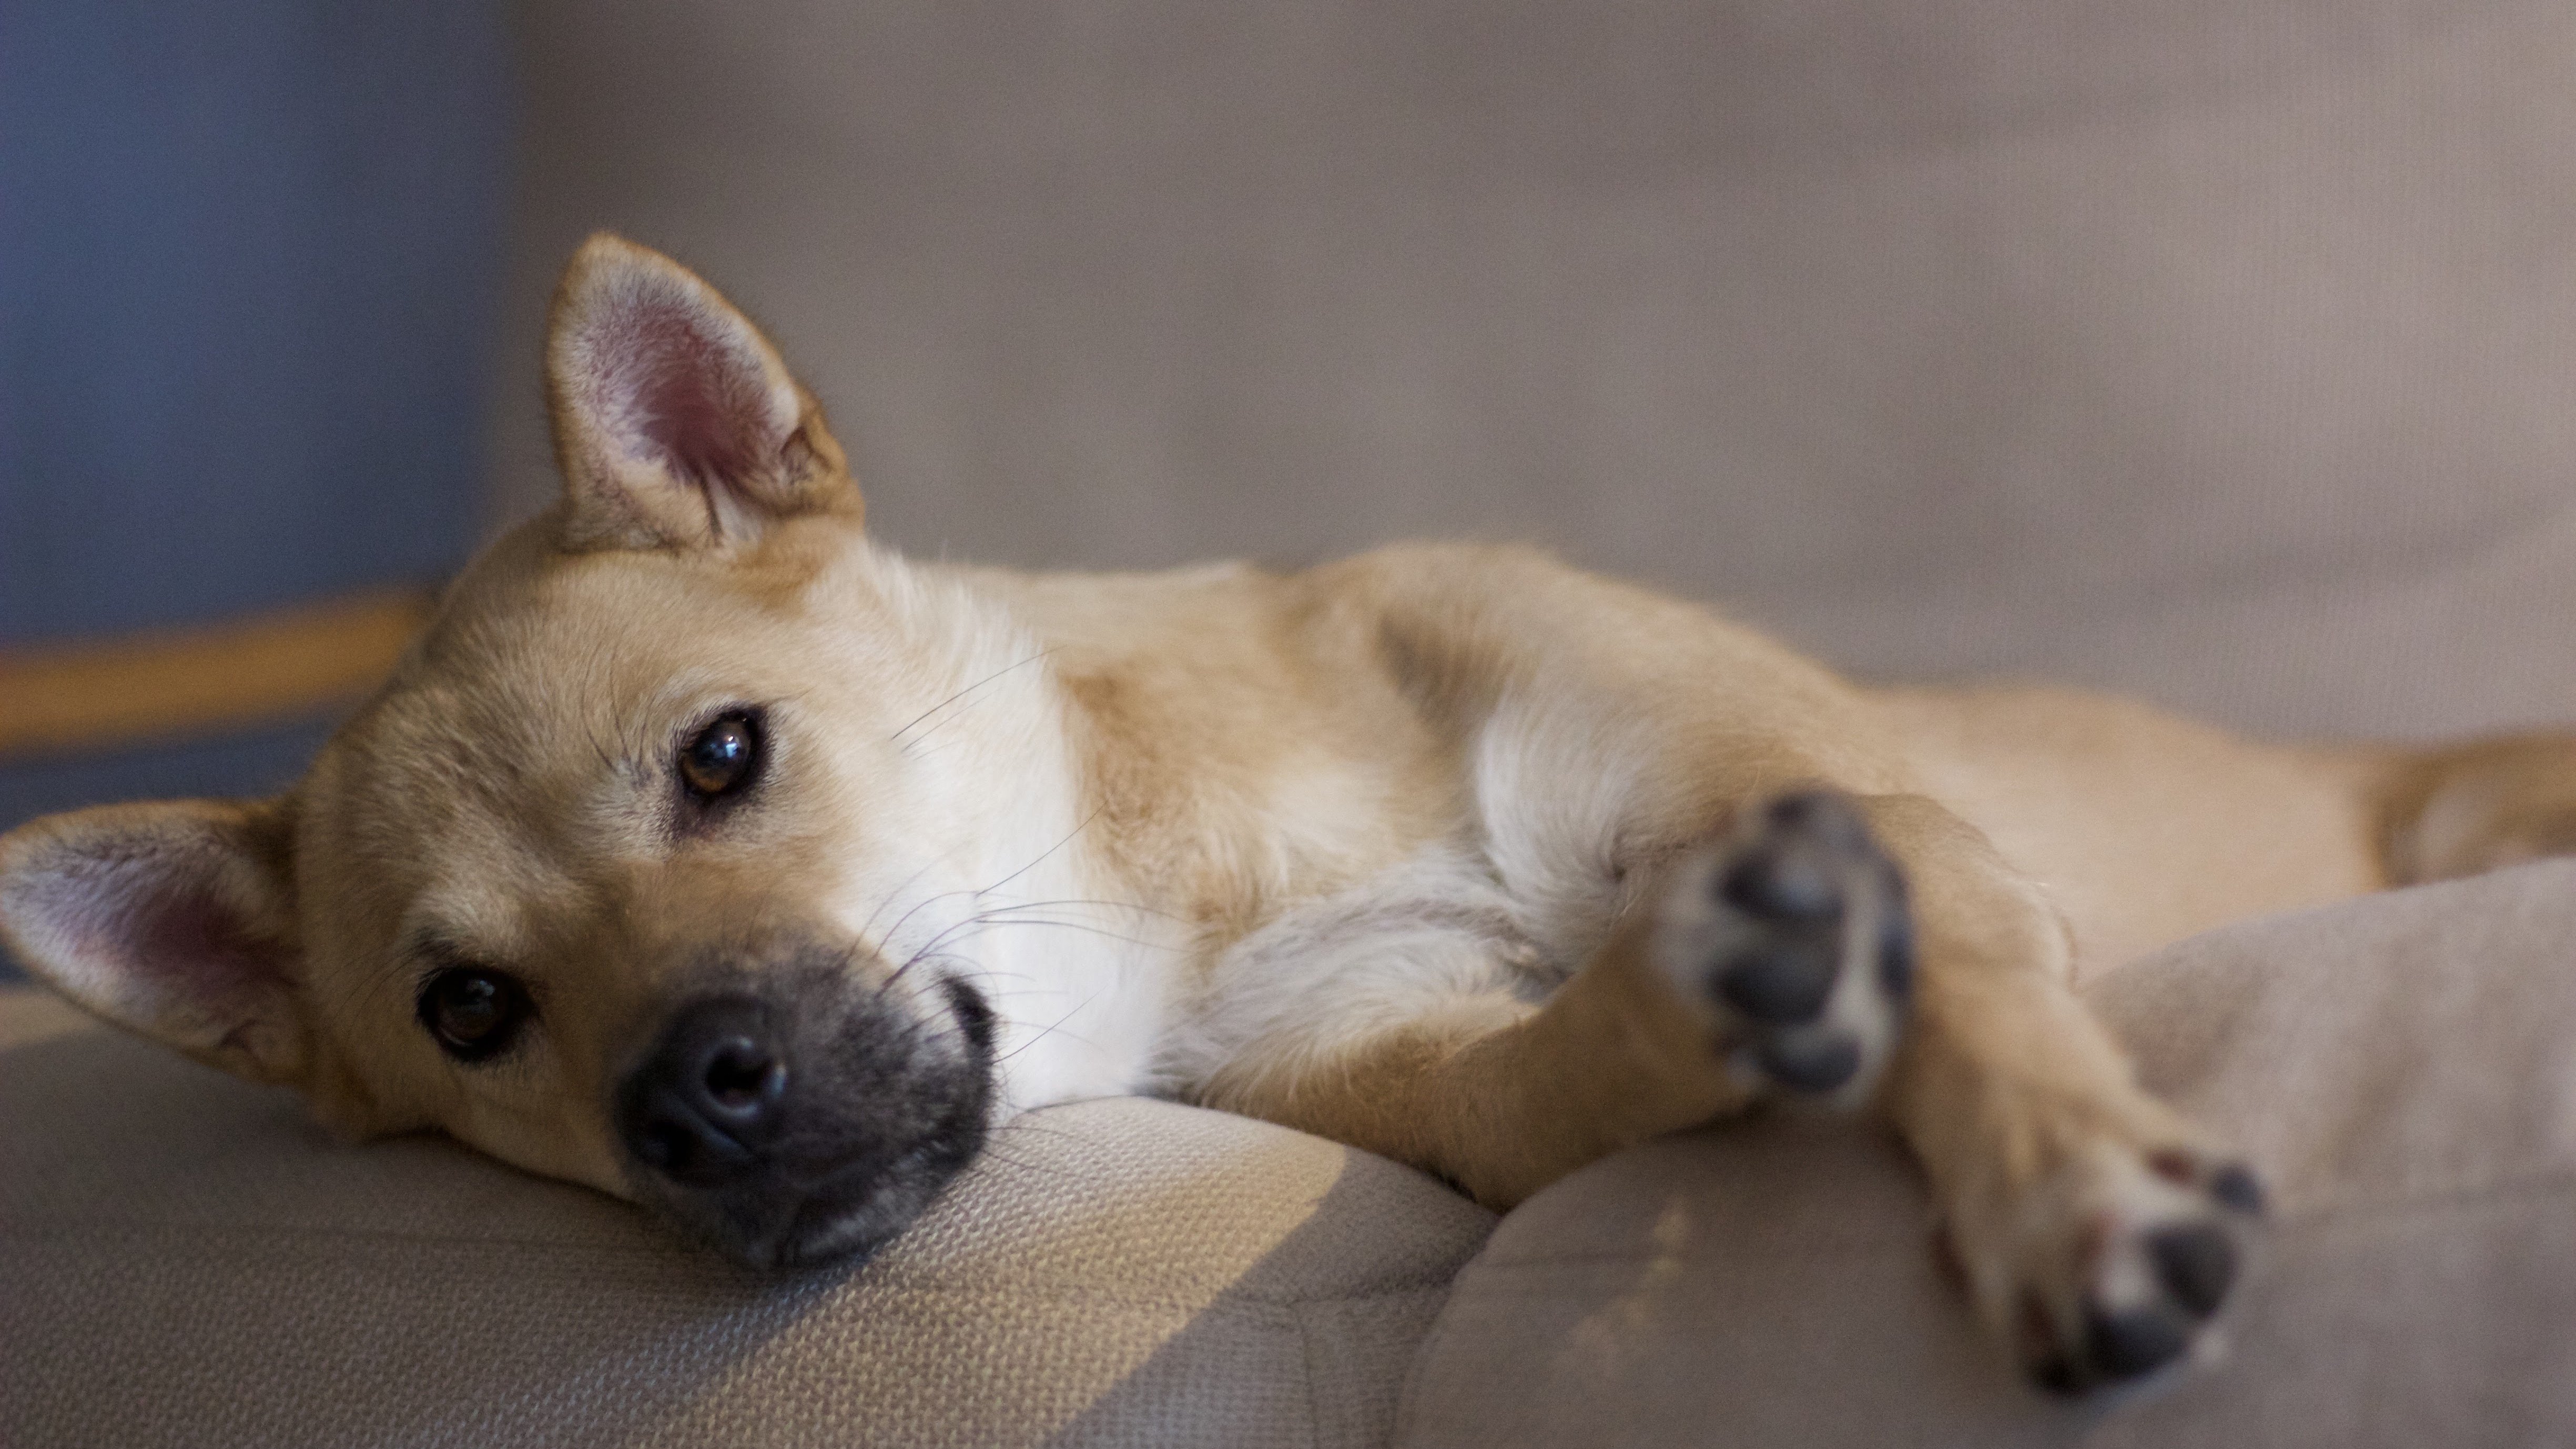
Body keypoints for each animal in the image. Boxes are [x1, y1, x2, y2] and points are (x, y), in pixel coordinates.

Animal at [10, 230, 2565, 1392]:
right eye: (465, 1010)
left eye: (722, 755)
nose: (696, 1102)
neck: (1213, 839)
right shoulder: (1416, 1069)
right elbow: (1574, 1059)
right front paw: (1714, 986)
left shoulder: (1868, 817)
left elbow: (1977, 1027)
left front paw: (2072, 1195)